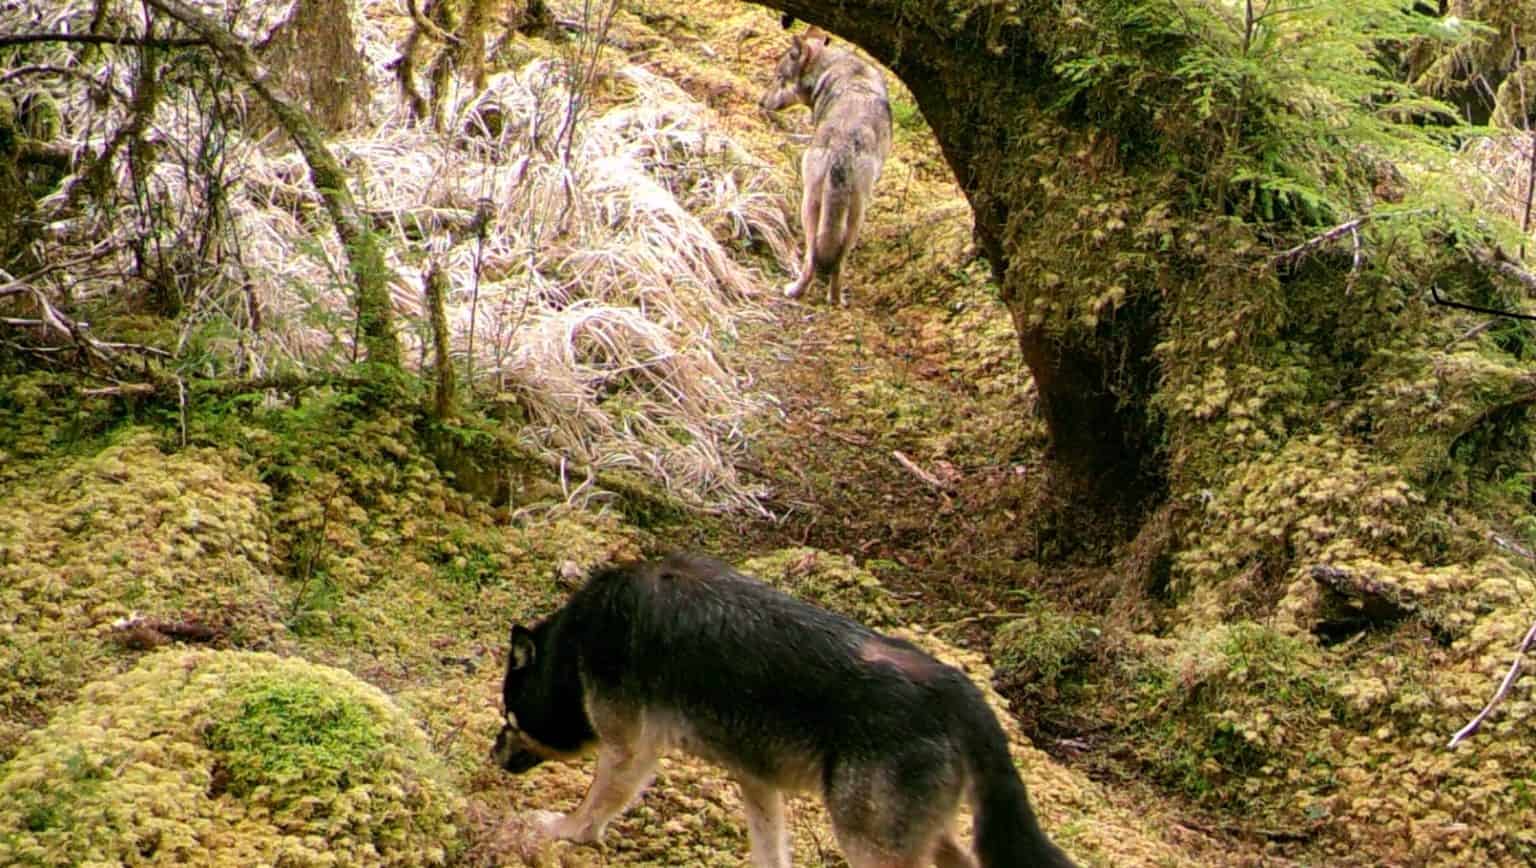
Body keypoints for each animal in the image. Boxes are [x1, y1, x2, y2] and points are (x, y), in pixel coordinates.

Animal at [491, 553, 1076, 868]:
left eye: (508, 716)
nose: (493, 752)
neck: (576, 645)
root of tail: (961, 692)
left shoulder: (629, 750)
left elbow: (592, 808)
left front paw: (563, 829)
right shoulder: (756, 780)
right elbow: (770, 847)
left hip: (868, 843)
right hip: (924, 836)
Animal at [759, 28, 893, 307]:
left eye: (779, 77)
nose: (760, 101)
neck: (831, 69)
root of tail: (843, 144)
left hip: (808, 205)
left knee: (811, 256)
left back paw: (794, 291)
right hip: (856, 214)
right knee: (838, 262)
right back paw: (835, 300)